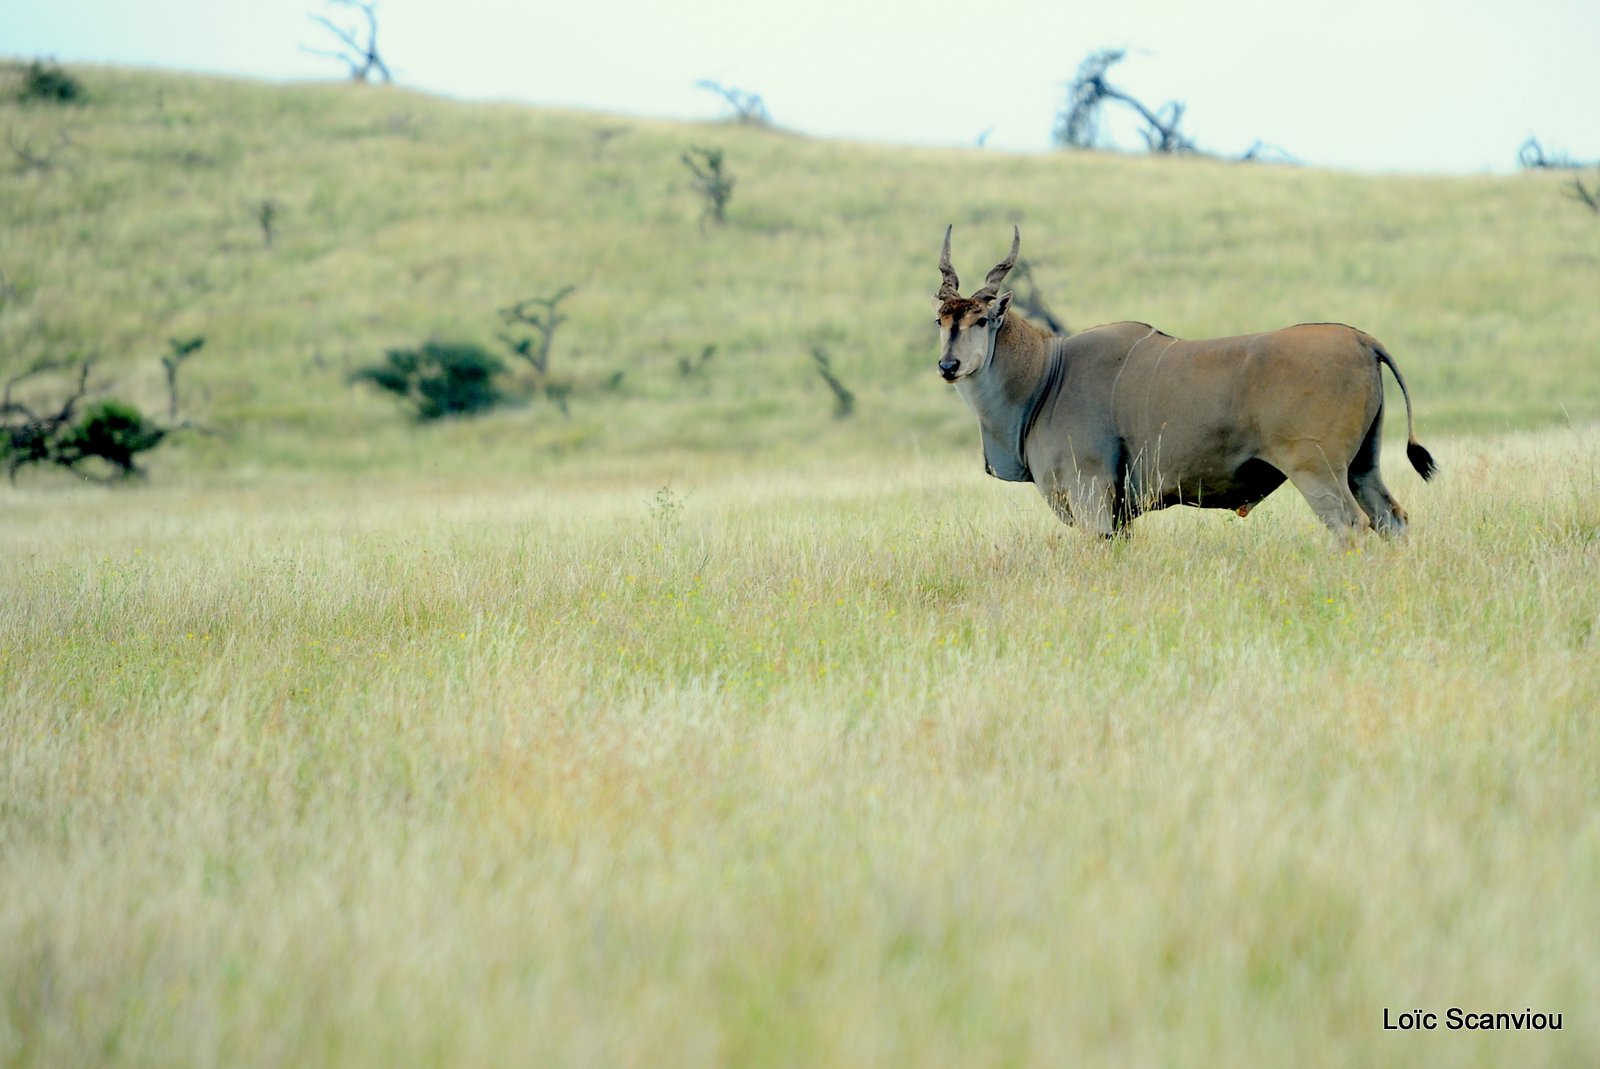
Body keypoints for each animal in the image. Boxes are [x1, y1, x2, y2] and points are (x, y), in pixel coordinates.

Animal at [928, 228, 1440, 537]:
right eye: (941, 320)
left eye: (980, 320)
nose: (948, 366)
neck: (1045, 377)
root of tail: (1362, 339)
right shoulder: (1118, 516)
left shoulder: (1092, 498)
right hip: (1362, 466)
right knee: (1392, 519)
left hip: (1317, 469)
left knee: (1350, 525)